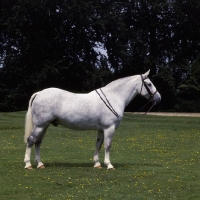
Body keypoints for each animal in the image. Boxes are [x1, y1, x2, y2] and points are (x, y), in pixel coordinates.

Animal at [23, 69, 161, 170]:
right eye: (149, 84)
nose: (158, 98)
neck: (114, 97)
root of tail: (39, 93)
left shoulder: (101, 129)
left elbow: (98, 145)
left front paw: (97, 164)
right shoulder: (109, 128)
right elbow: (108, 145)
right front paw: (109, 165)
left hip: (44, 126)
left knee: (38, 142)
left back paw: (40, 164)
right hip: (40, 125)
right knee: (31, 140)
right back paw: (28, 164)